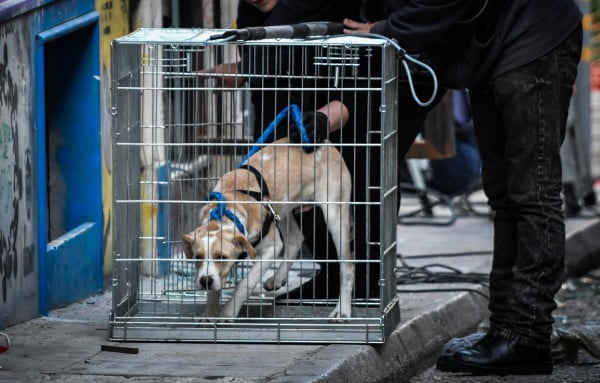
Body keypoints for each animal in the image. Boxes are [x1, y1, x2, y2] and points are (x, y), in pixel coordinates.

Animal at [180, 138, 354, 320]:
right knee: (295, 239)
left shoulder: (272, 248)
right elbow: (215, 289)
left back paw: (342, 310)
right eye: (197, 257)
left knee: (347, 266)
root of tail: (327, 144)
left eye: (222, 257)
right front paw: (209, 313)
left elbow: (246, 283)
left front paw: (228, 312)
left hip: (334, 214)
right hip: (281, 210)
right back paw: (278, 278)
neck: (225, 211)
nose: (205, 281)